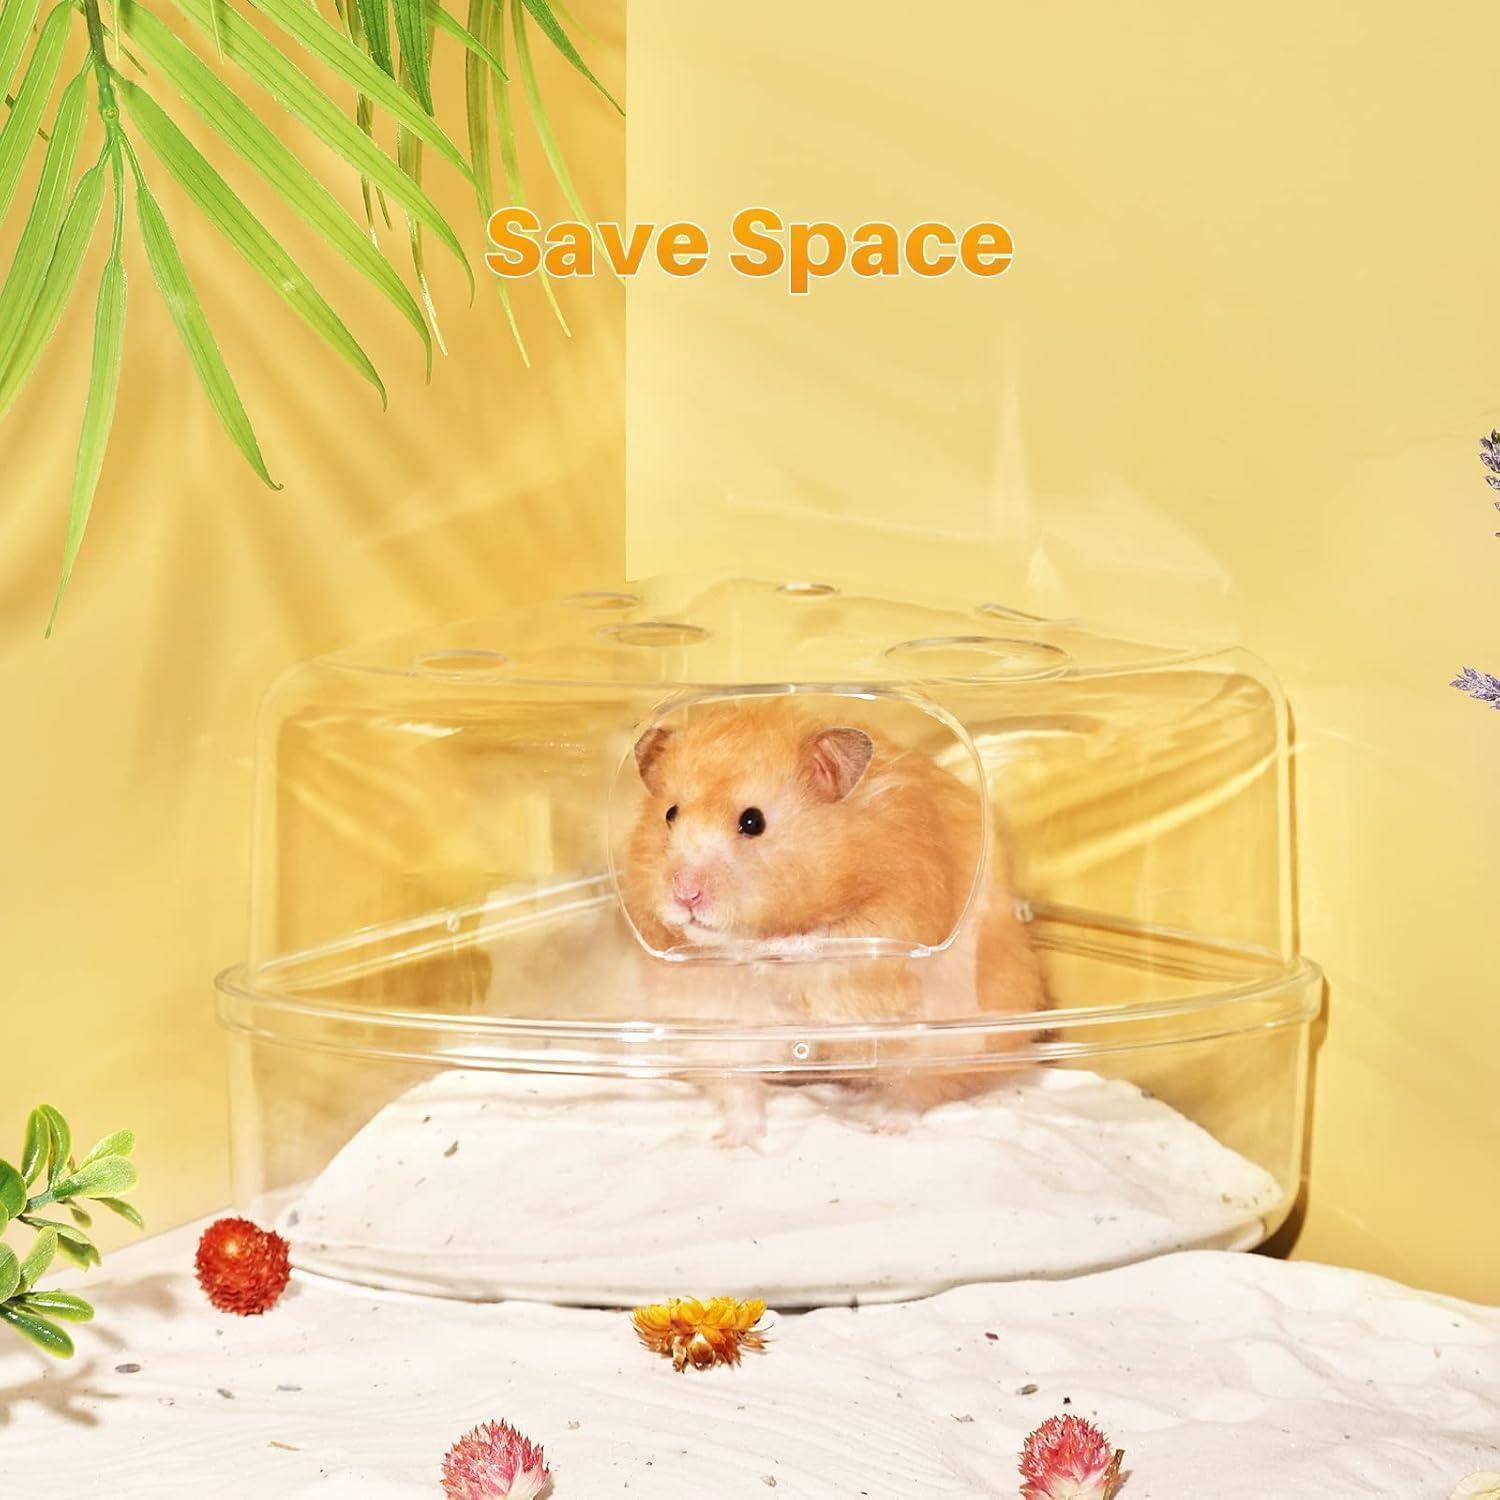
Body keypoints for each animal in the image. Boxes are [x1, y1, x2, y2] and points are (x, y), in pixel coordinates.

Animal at [619, 699, 1045, 1132]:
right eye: (670, 814)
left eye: (752, 821)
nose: (684, 893)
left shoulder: (895, 915)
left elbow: (825, 942)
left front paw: (777, 946)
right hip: (717, 1034)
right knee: (738, 1087)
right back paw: (738, 1138)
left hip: (944, 1040)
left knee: (917, 1088)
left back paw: (881, 1122)